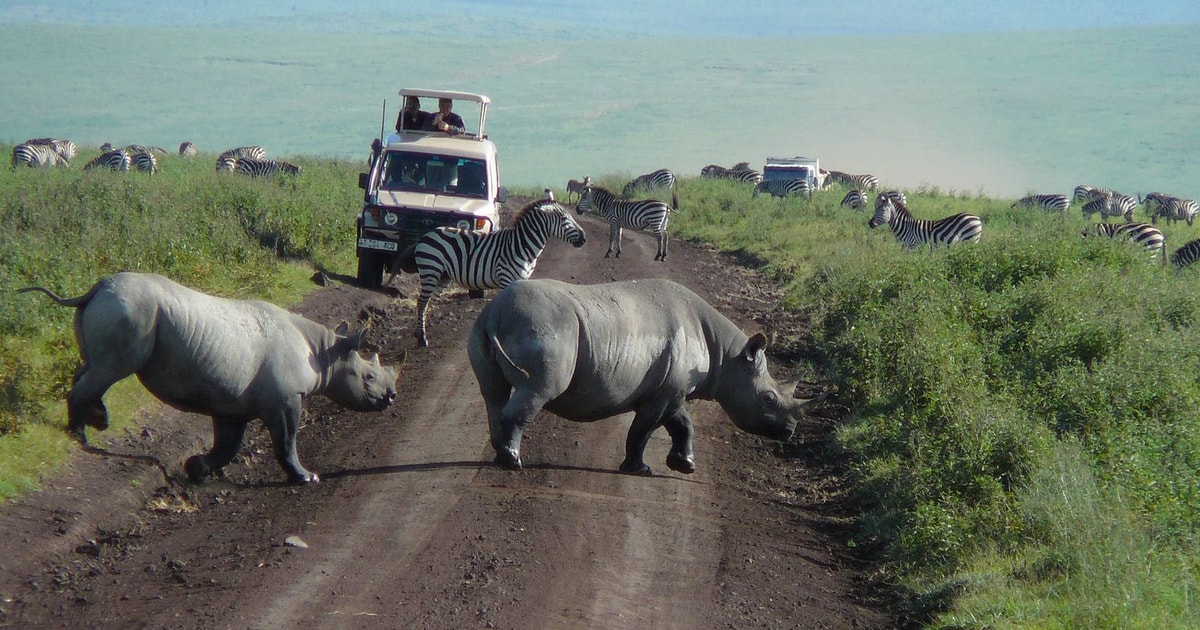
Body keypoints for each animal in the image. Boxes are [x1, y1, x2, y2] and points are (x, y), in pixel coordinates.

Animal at [393, 199, 585, 345]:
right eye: (563, 218)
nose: (584, 238)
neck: (521, 245)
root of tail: (426, 235)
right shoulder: (507, 278)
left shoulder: (522, 279)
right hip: (430, 270)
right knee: (421, 302)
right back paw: (422, 339)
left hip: (443, 276)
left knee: (428, 302)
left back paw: (422, 332)